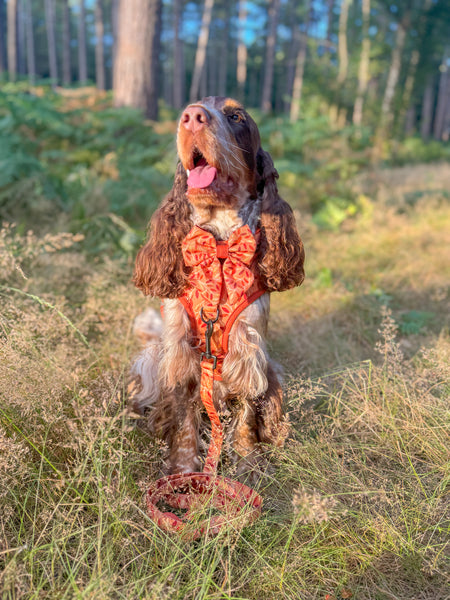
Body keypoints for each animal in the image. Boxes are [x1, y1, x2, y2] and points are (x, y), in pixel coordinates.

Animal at [130, 96, 306, 480]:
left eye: (236, 116)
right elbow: (184, 424)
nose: (192, 116)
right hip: (151, 360)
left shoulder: (249, 349)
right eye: (190, 107)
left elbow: (246, 420)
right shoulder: (181, 353)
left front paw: (247, 466)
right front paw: (184, 473)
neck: (222, 247)